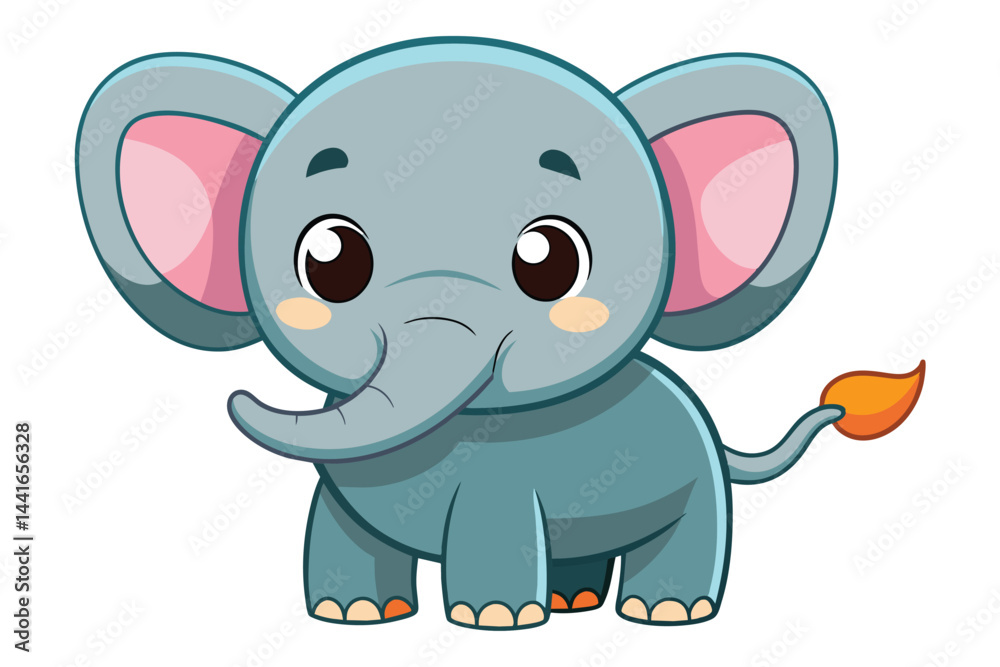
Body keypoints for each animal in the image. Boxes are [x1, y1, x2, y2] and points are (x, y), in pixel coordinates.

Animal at [77, 37, 844, 630]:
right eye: (329, 259)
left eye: (551, 260)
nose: (238, 398)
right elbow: (340, 528)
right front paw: (353, 615)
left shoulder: (503, 483)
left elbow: (491, 523)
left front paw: (495, 619)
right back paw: (573, 601)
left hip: (697, 481)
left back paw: (664, 613)